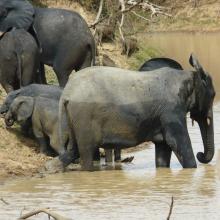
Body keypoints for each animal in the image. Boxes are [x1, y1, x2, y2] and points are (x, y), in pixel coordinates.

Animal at [56, 53, 215, 172]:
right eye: (213, 95)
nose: (200, 154)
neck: (188, 75)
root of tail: (66, 94)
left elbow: (163, 147)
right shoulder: (172, 110)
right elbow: (176, 141)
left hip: (71, 118)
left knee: (72, 151)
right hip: (84, 117)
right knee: (86, 152)